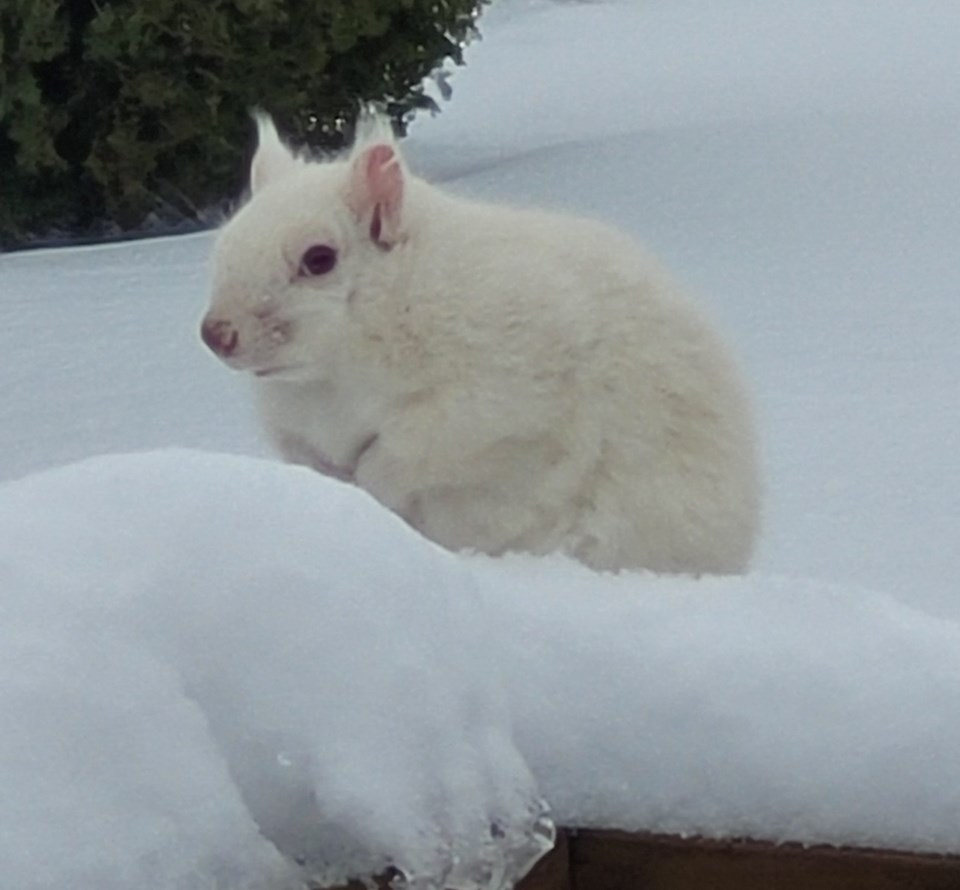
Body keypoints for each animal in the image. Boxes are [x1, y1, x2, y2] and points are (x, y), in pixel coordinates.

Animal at [201, 112, 756, 568]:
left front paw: (373, 481)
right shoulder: (295, 426)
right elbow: (312, 457)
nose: (215, 334)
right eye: (223, 240)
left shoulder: (495, 400)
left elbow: (411, 450)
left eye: (319, 259)